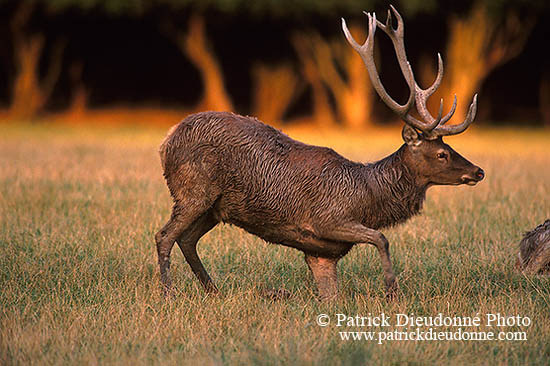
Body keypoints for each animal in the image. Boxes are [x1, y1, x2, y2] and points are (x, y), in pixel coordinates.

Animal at [156, 7, 488, 300]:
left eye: (451, 148)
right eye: (442, 153)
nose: (478, 171)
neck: (367, 198)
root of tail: (167, 140)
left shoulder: (321, 254)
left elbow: (332, 295)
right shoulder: (327, 219)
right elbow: (382, 238)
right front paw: (391, 291)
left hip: (216, 207)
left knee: (187, 239)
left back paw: (214, 292)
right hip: (192, 190)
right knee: (165, 236)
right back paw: (168, 294)